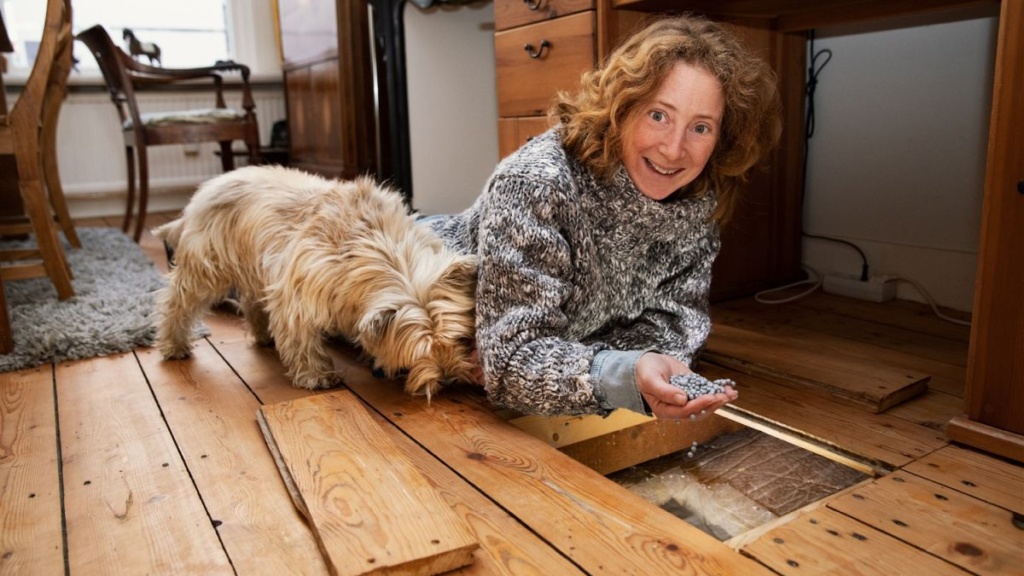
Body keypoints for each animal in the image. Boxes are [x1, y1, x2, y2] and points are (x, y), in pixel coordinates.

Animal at [152, 163, 479, 397]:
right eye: (419, 352)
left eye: (460, 339)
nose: (448, 379)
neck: (383, 251)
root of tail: (204, 191)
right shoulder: (297, 292)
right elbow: (300, 336)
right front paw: (316, 375)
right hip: (206, 267)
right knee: (177, 302)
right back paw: (173, 344)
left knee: (251, 301)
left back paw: (262, 334)